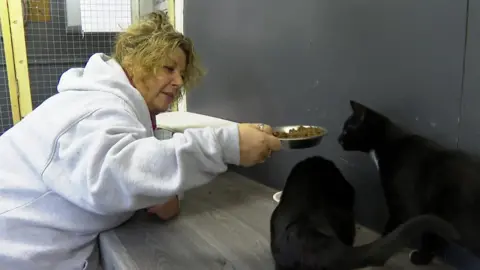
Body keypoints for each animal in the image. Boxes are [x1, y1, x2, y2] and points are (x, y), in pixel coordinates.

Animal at [338, 99, 480, 266]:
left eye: (346, 129)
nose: (338, 138)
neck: (391, 145)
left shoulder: (405, 204)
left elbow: (409, 230)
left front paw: (419, 257)